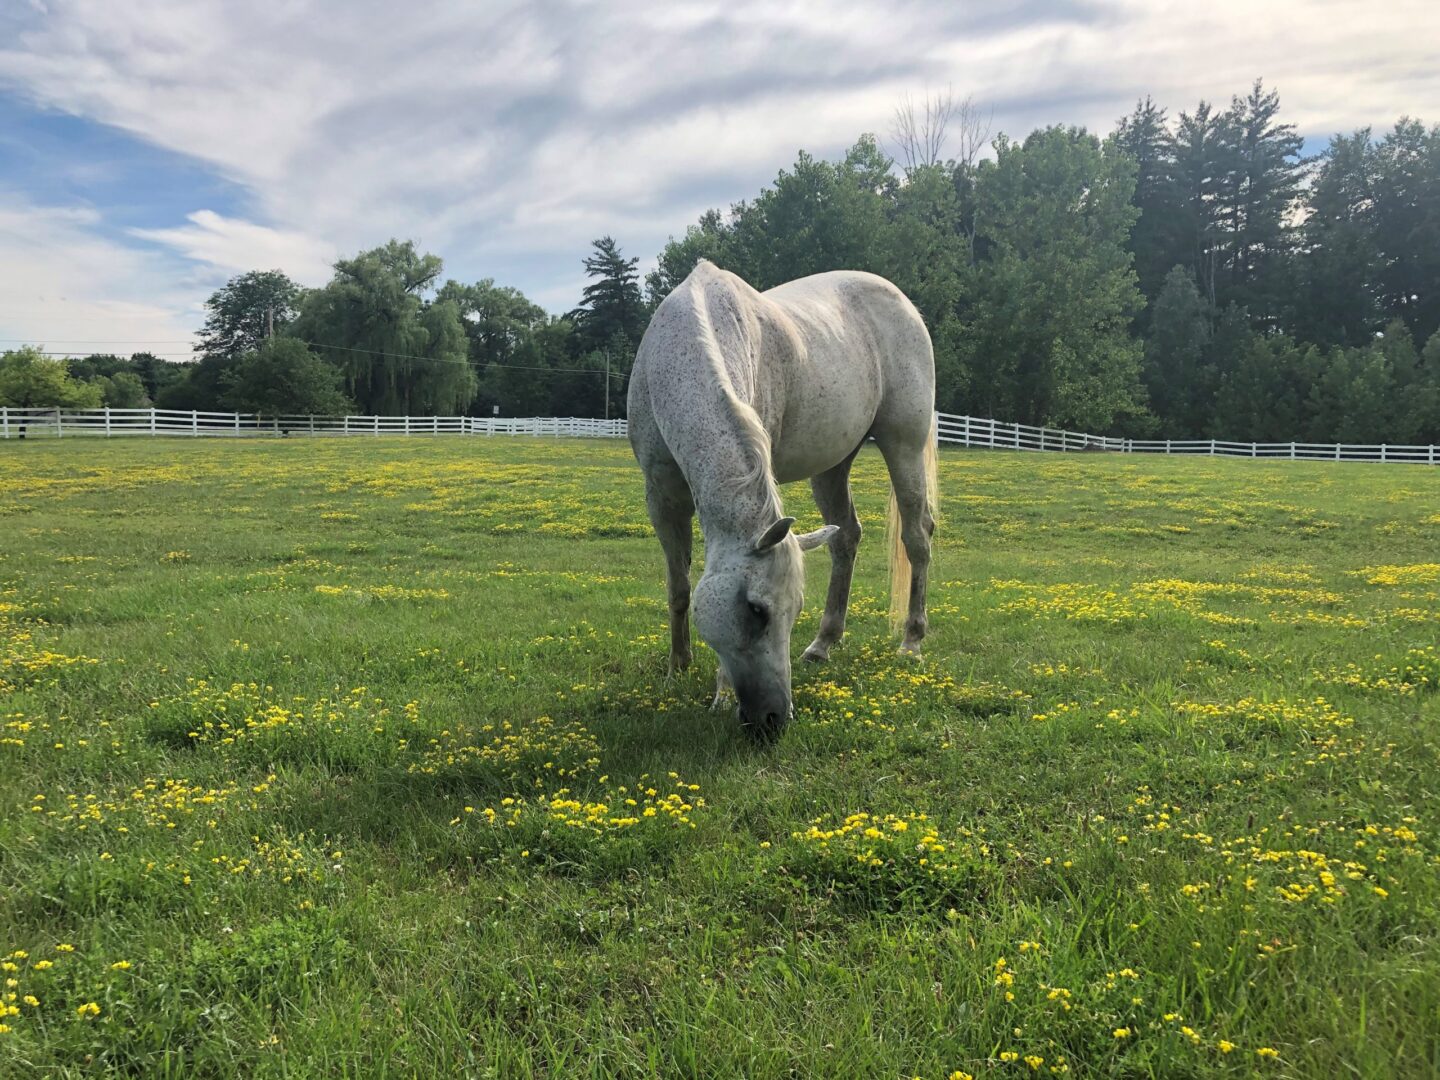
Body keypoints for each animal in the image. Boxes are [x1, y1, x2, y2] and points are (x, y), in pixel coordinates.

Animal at [624, 260, 938, 743]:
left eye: (792, 611)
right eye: (757, 611)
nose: (775, 719)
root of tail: (906, 304)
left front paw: (719, 694)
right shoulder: (661, 498)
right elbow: (678, 589)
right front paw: (677, 669)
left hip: (903, 444)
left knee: (916, 536)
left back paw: (911, 642)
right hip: (832, 465)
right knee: (846, 538)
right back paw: (823, 644)